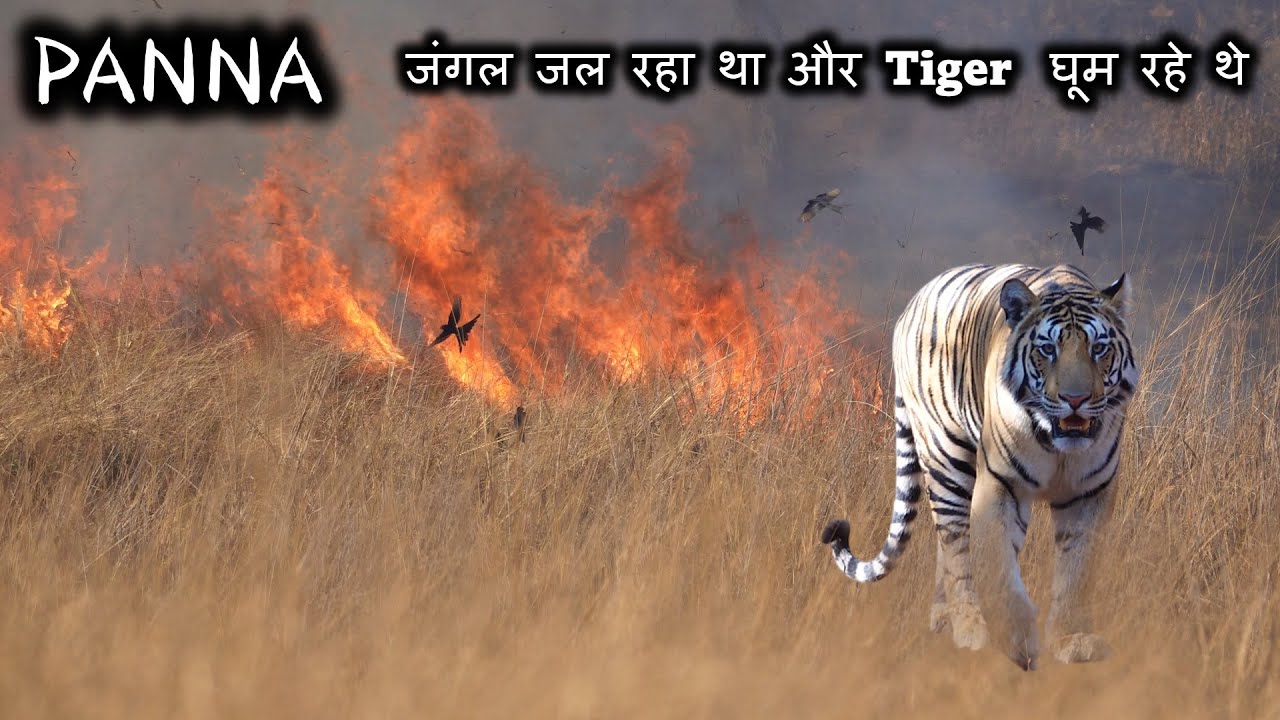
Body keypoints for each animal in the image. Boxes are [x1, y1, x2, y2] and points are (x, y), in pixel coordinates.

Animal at [820, 263, 1139, 671]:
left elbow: (1077, 570)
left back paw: (944, 621)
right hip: (947, 460)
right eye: (1047, 349)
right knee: (956, 543)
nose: (1075, 399)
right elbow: (999, 566)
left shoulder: (1091, 493)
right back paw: (970, 629)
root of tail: (912, 305)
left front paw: (1074, 641)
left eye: (1099, 348)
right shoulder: (1001, 485)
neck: (1058, 446)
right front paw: (1017, 643)